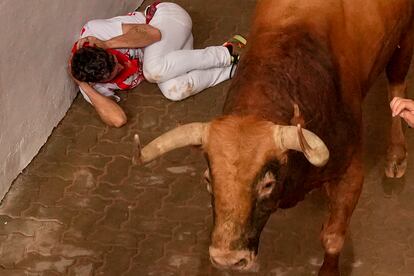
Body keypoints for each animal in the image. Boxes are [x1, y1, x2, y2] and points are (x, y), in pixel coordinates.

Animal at [134, 1, 412, 274]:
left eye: (267, 184)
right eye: (208, 180)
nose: (228, 258)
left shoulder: (351, 172)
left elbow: (333, 237)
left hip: (403, 42)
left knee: (396, 88)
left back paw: (396, 155)